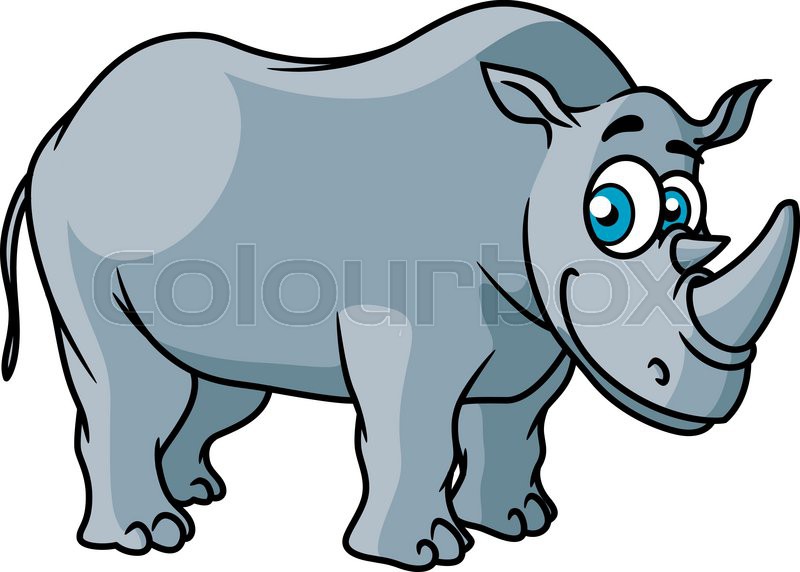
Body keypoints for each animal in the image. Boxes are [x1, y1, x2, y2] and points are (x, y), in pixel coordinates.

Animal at [1, 2, 796, 569]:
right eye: (610, 214)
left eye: (685, 208)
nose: (706, 399)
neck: (540, 150)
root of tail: (62, 126)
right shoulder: (407, 327)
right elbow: (416, 431)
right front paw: (424, 554)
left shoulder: (540, 324)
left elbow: (513, 424)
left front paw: (519, 525)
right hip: (79, 211)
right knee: (135, 377)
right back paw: (150, 536)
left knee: (219, 384)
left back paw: (196, 495)